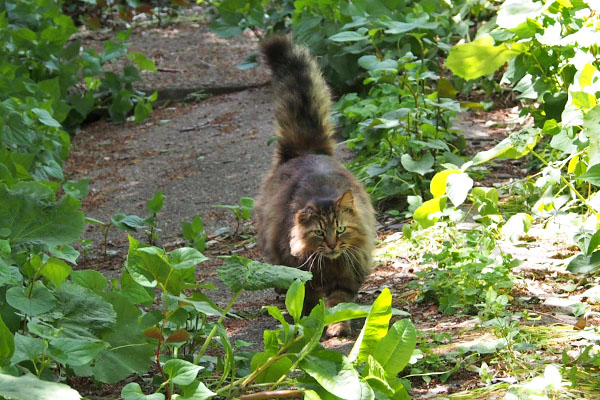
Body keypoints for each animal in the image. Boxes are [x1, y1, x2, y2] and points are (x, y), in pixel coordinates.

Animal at [256, 35, 378, 338]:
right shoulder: (302, 276)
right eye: (320, 233)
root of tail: (306, 151)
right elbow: (308, 304)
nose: (333, 245)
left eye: (341, 229)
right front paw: (310, 326)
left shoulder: (348, 275)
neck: (331, 264)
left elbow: (338, 304)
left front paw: (337, 327)